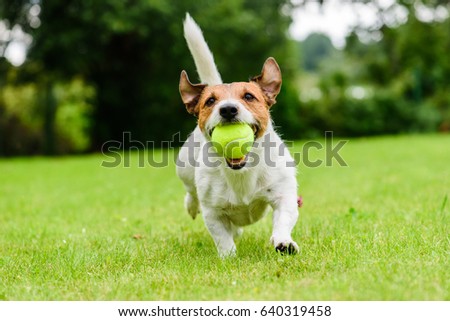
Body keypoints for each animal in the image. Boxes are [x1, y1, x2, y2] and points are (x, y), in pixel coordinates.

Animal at [176, 13, 298, 258]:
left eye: (249, 96)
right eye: (210, 101)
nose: (228, 109)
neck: (241, 172)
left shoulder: (284, 195)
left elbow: (283, 220)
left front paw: (283, 243)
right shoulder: (212, 211)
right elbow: (222, 237)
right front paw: (229, 257)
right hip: (184, 169)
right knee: (191, 192)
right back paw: (191, 205)